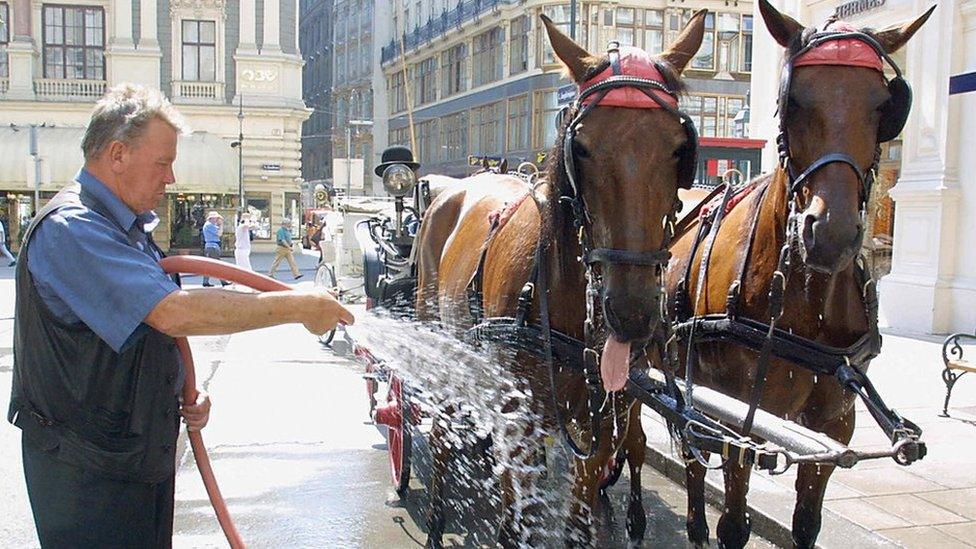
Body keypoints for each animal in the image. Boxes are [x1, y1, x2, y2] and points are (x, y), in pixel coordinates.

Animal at [414, 10, 708, 544]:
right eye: (582, 146)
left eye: (680, 148)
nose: (631, 313)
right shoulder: (518, 413)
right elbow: (520, 511)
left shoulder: (605, 422)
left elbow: (579, 512)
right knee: (446, 431)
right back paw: (438, 515)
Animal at [668, 2, 936, 544]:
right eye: (791, 102)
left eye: (886, 107)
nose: (830, 231)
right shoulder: (741, 419)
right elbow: (735, 522)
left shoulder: (834, 425)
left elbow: (807, 522)